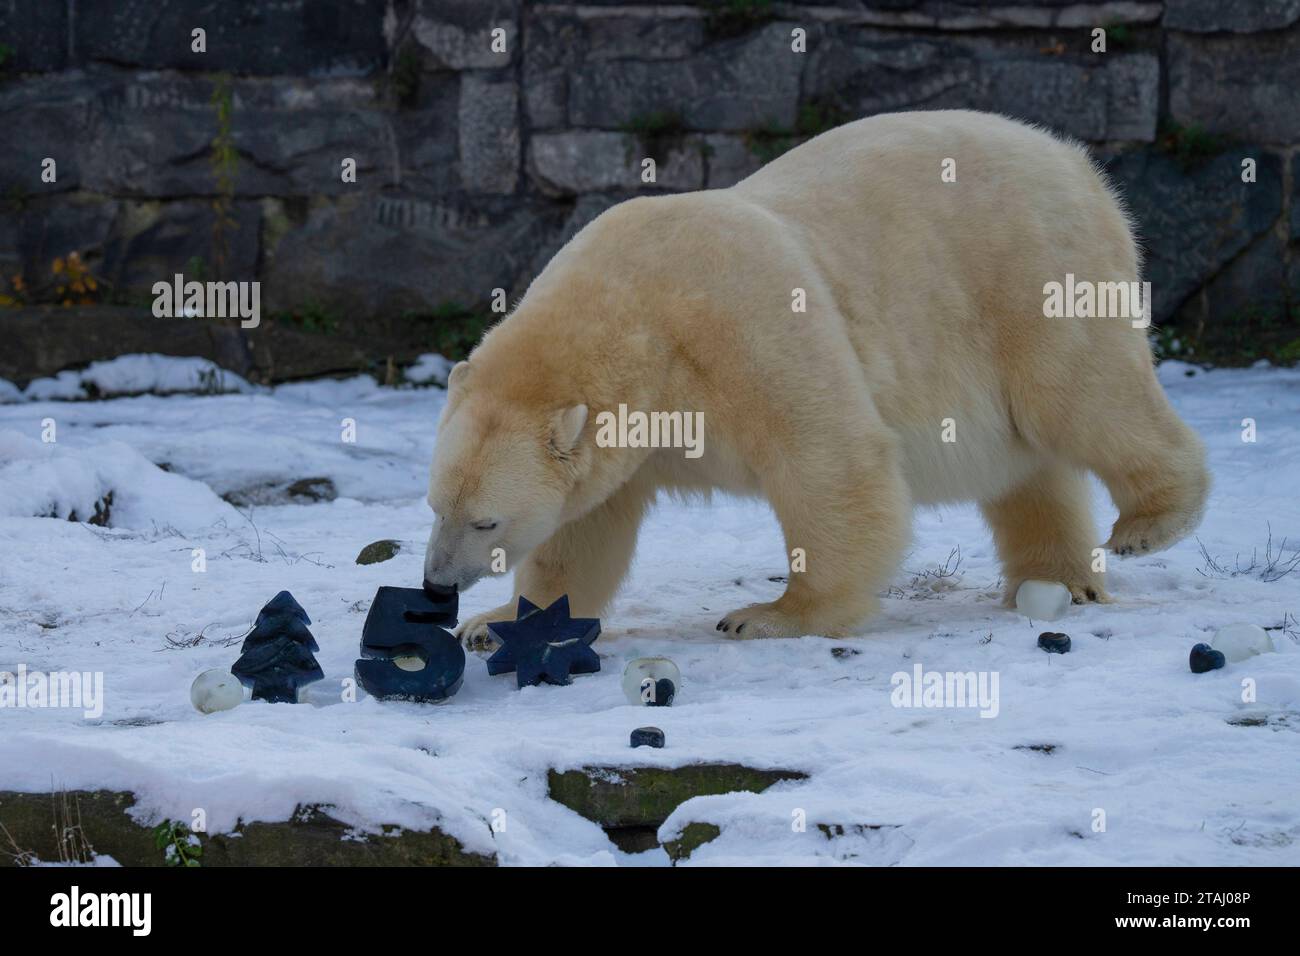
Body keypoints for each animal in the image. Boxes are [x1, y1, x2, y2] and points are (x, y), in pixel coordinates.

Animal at [426, 110, 1206, 642]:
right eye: (435, 506)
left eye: (486, 519)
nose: (437, 586)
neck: (638, 316)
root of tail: (1079, 164)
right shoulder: (627, 434)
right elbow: (584, 529)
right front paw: (496, 622)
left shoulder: (741, 326)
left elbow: (828, 460)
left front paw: (769, 614)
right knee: (1028, 467)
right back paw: (1059, 579)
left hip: (1030, 275)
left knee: (1080, 397)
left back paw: (1146, 526)